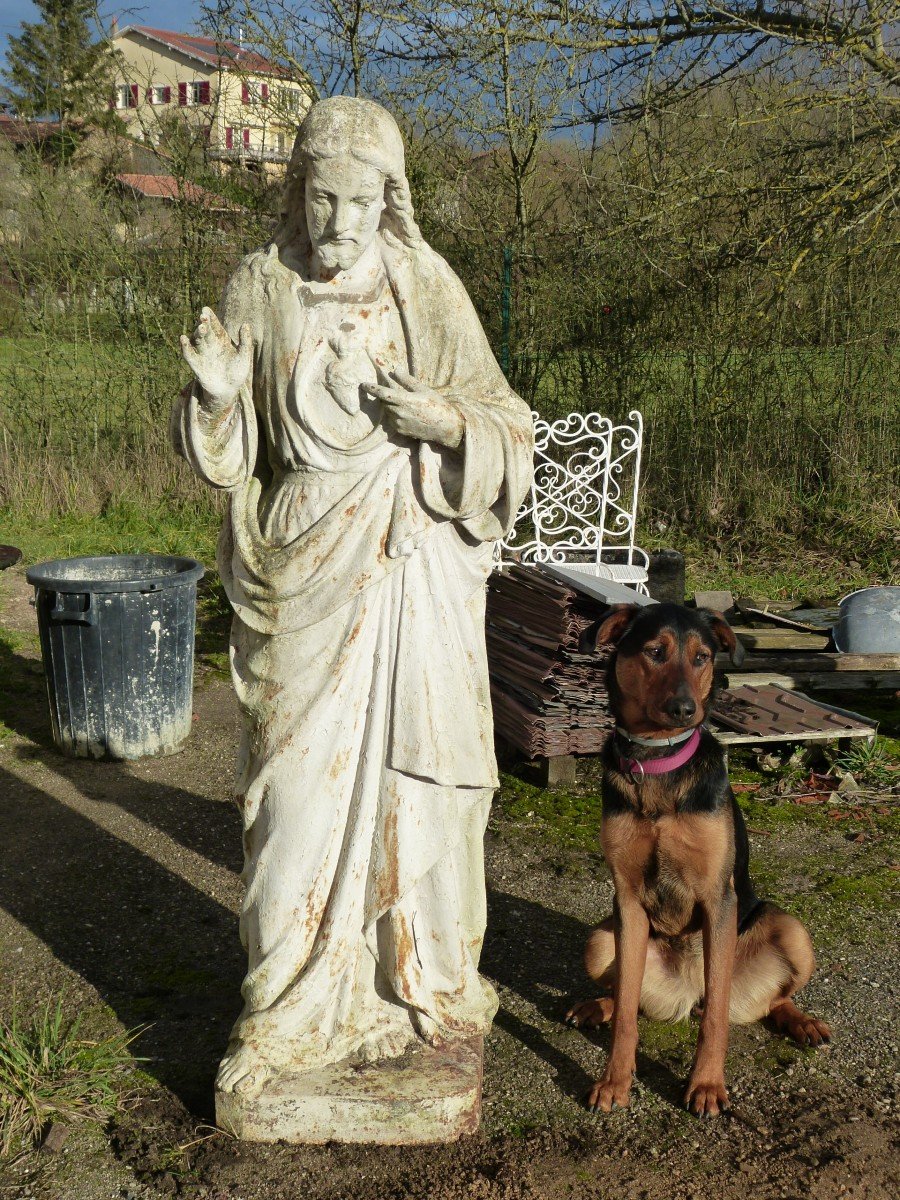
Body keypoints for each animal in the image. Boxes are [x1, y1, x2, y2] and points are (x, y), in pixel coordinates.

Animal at [566, 604, 835, 1118]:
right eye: (655, 652)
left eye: (701, 657)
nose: (684, 710)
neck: (657, 761)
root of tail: (688, 993)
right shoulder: (627, 901)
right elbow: (627, 1011)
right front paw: (615, 1080)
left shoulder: (717, 898)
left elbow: (716, 1022)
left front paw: (707, 1085)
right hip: (598, 939)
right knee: (627, 995)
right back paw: (596, 1006)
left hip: (791, 930)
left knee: (765, 1000)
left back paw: (801, 1021)